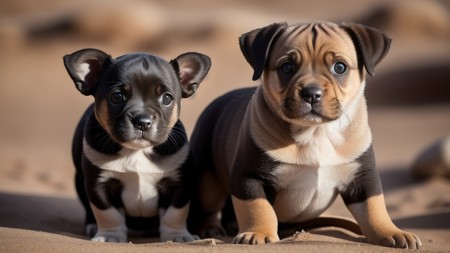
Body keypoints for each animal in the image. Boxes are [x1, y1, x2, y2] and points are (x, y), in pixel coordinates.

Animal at [63, 48, 211, 242]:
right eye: (117, 96)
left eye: (167, 98)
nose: (142, 121)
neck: (136, 151)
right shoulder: (98, 185)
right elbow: (108, 214)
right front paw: (109, 236)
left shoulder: (179, 184)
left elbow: (175, 213)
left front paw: (178, 235)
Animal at [187, 21, 422, 249]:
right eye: (287, 67)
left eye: (340, 67)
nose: (311, 93)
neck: (316, 132)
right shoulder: (250, 177)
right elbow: (258, 207)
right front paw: (258, 232)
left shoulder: (363, 178)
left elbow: (375, 208)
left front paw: (391, 232)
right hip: (208, 178)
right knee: (208, 205)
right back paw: (210, 229)